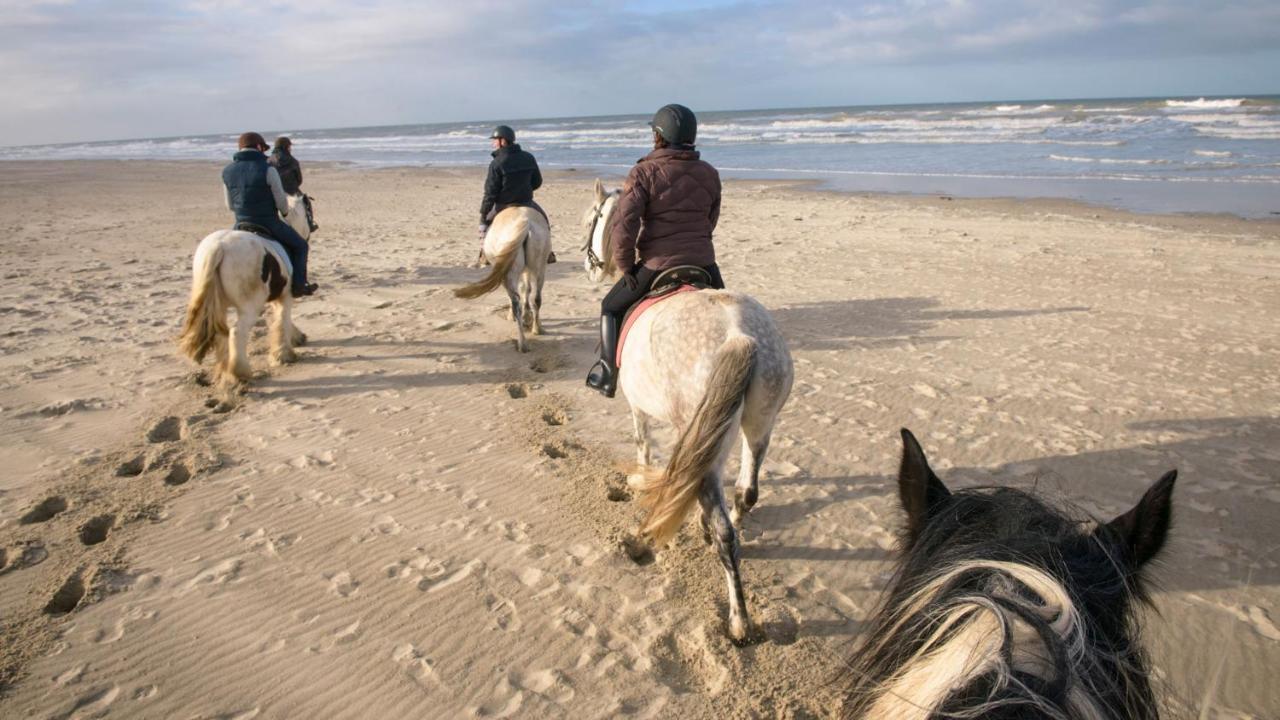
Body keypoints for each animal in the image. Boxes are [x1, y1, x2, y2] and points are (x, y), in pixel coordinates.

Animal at [179, 193, 308, 386]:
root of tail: (219, 246)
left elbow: (281, 318)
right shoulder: (286, 295)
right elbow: (282, 319)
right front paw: (284, 354)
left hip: (217, 305)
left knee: (221, 332)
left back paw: (225, 371)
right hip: (250, 307)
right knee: (236, 332)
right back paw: (240, 372)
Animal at [455, 203, 550, 351]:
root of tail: (526, 222)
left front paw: (518, 316)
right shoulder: (526, 271)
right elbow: (526, 289)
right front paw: (527, 316)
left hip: (508, 274)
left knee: (515, 302)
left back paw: (522, 343)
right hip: (539, 267)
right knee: (536, 298)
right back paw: (537, 329)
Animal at [578, 178, 788, 638]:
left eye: (593, 219)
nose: (589, 265)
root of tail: (739, 334)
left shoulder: (637, 407)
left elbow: (643, 447)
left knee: (724, 529)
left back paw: (739, 620)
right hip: (759, 425)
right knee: (745, 493)